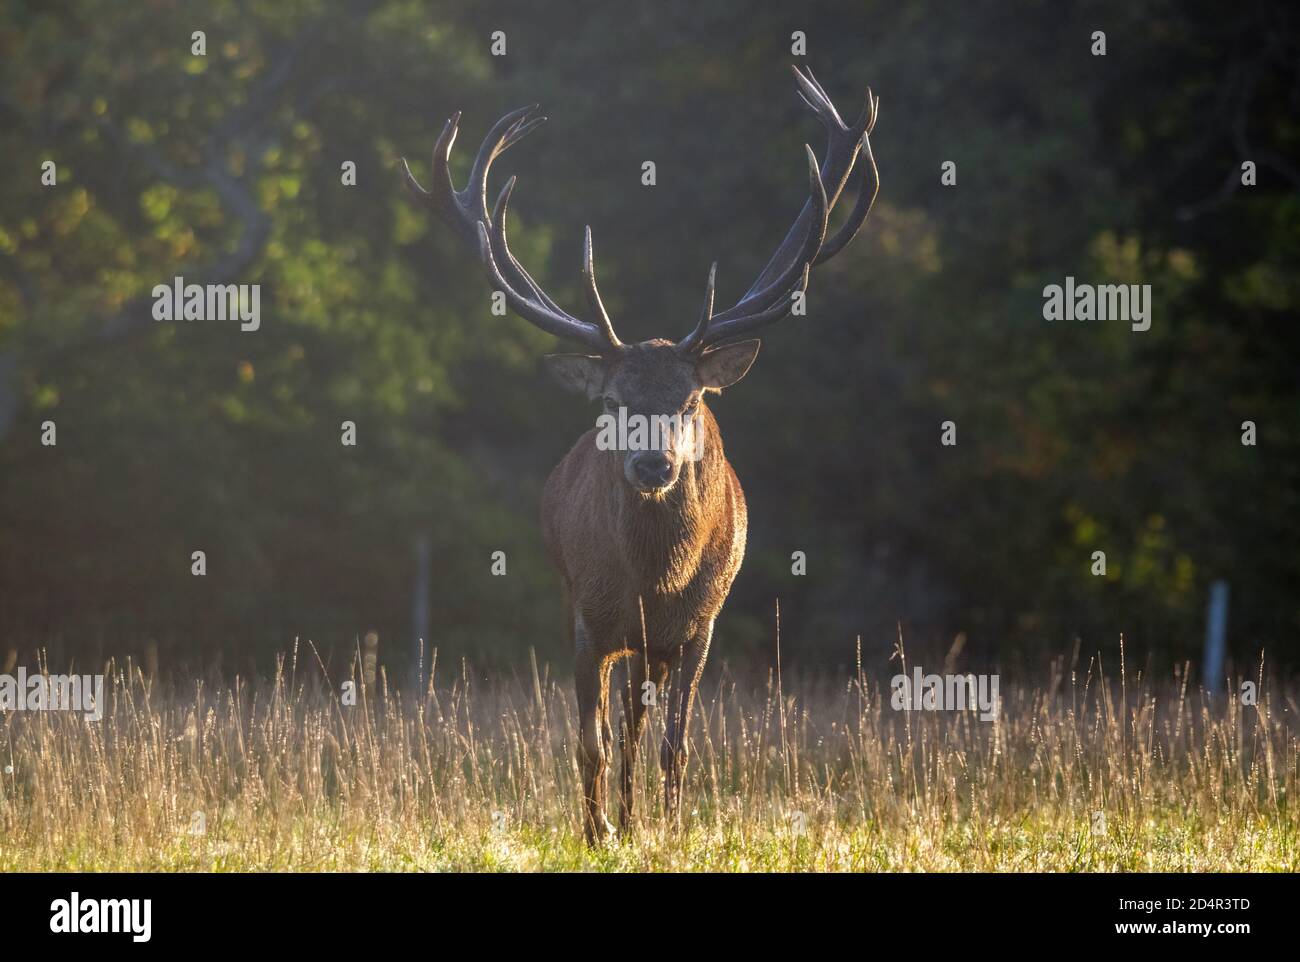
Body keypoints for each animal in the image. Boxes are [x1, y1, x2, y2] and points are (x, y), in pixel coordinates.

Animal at [402, 66, 879, 843]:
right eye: (613, 401)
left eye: (689, 402)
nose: (653, 466)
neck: (657, 578)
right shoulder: (589, 619)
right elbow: (588, 742)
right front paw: (597, 833)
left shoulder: (700, 626)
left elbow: (674, 742)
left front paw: (672, 828)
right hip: (597, 617)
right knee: (617, 725)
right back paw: (618, 820)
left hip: (657, 644)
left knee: (639, 723)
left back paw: (638, 817)